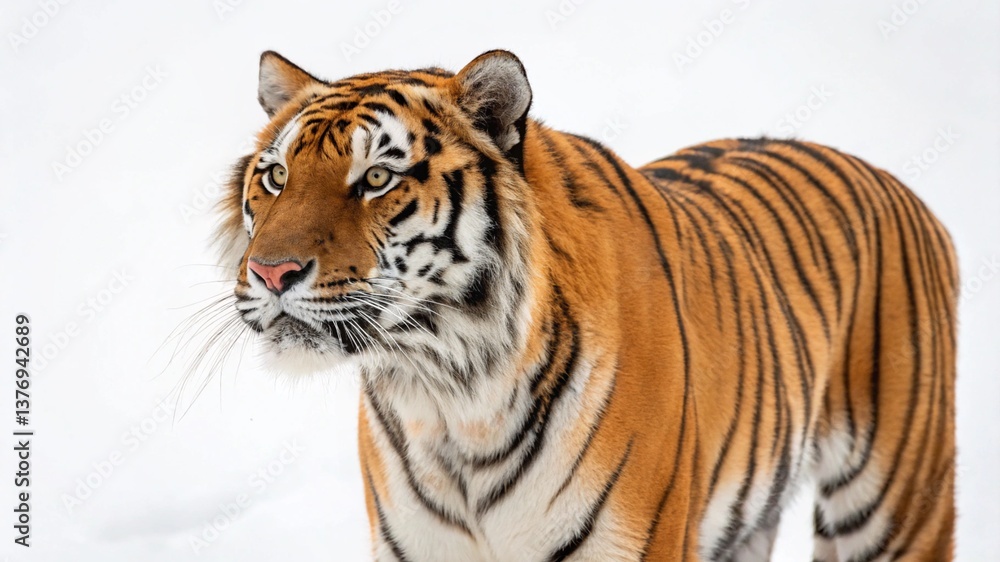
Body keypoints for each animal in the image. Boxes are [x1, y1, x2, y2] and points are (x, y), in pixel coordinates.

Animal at [215, 49, 957, 561]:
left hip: (895, 505)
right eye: (276, 176)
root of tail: (899, 186)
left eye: (376, 178)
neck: (452, 398)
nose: (271, 272)